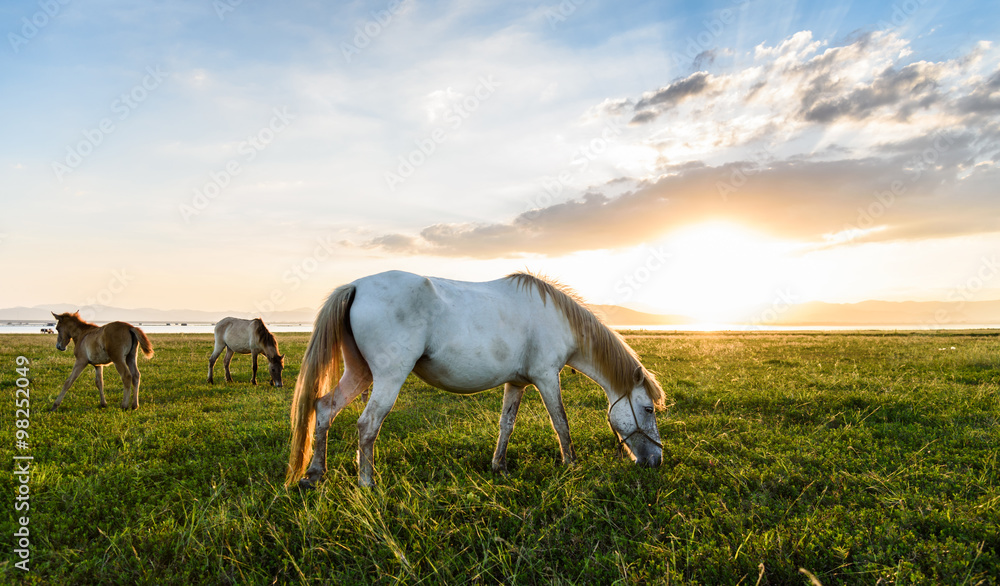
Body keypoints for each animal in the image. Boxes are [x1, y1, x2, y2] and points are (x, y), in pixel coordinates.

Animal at [286, 270, 667, 489]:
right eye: (648, 409)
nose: (655, 461)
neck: (558, 318)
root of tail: (355, 286)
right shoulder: (546, 378)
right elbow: (561, 423)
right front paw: (571, 465)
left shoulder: (517, 383)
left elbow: (506, 425)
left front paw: (499, 466)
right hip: (387, 378)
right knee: (367, 425)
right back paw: (367, 483)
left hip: (360, 373)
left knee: (324, 409)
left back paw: (314, 475)